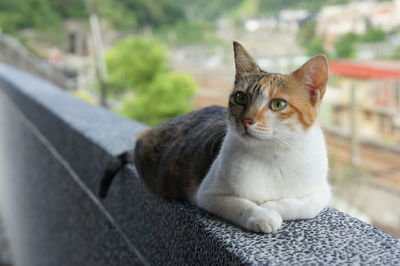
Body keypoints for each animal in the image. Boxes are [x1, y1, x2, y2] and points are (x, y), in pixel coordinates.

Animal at [98, 41, 330, 233]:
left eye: (278, 104)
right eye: (240, 97)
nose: (246, 120)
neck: (273, 154)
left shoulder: (322, 189)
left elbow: (307, 204)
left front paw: (271, 205)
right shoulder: (209, 193)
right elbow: (241, 204)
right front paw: (262, 215)